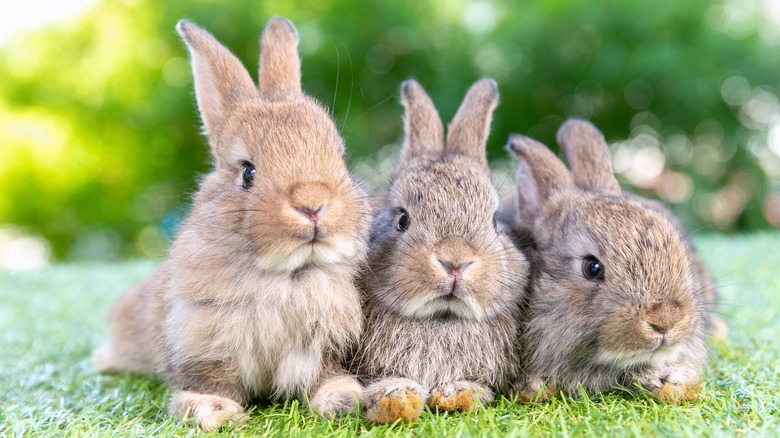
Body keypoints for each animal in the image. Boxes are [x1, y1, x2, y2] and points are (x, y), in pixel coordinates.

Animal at [91, 17, 372, 432]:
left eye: (342, 158)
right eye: (247, 172)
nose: (313, 205)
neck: (285, 275)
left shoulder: (321, 346)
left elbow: (323, 376)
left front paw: (344, 400)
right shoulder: (201, 338)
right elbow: (210, 379)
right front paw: (213, 411)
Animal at [352, 79, 532, 424]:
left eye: (494, 221)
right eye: (402, 219)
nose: (455, 262)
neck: (441, 320)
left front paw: (457, 394)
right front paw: (397, 398)